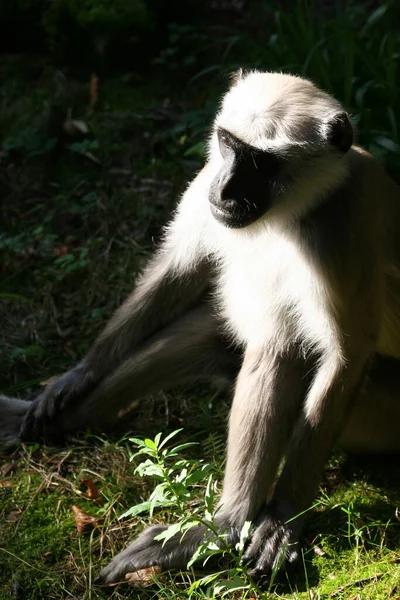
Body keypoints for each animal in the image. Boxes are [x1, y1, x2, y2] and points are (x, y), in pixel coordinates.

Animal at [0, 70, 400, 584]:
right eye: (228, 144)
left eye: (260, 162)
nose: (226, 188)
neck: (288, 214)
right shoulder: (205, 189)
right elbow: (178, 272)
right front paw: (75, 376)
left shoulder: (340, 230)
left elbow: (345, 357)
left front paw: (282, 519)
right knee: (216, 336)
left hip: (380, 413)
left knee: (282, 346)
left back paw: (225, 526)